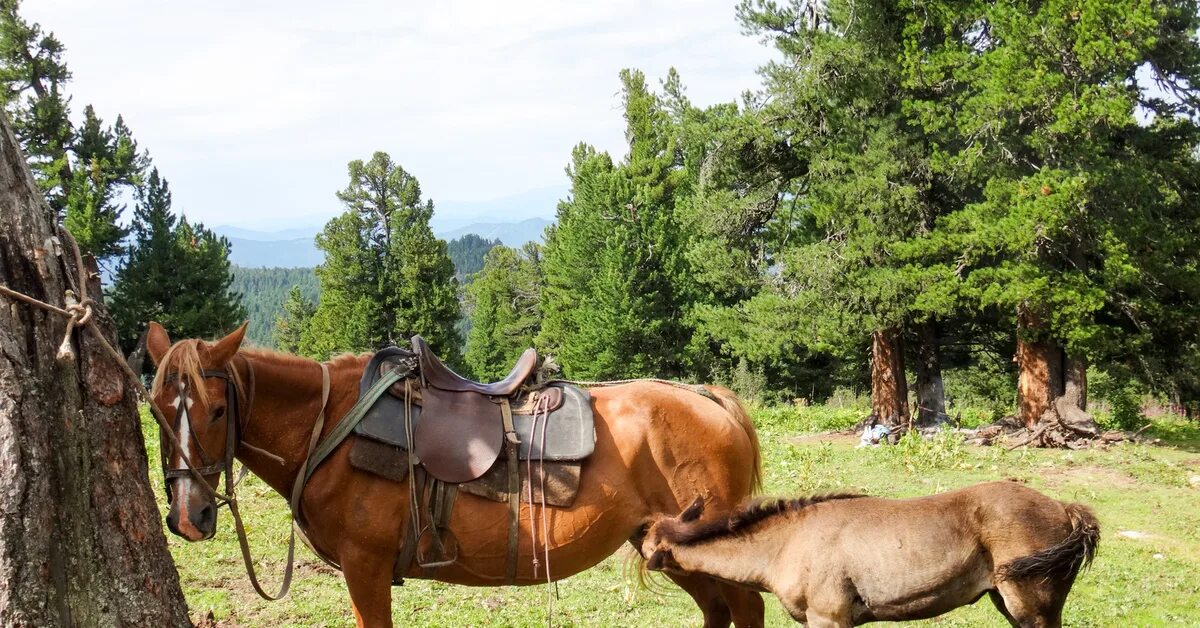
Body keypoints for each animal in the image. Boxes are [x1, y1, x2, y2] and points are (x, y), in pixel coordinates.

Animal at [145, 324, 763, 628]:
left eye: (217, 411)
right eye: (154, 409)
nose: (189, 516)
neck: (330, 425)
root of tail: (708, 399)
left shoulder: (365, 567)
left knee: (746, 609)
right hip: (665, 542)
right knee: (717, 610)